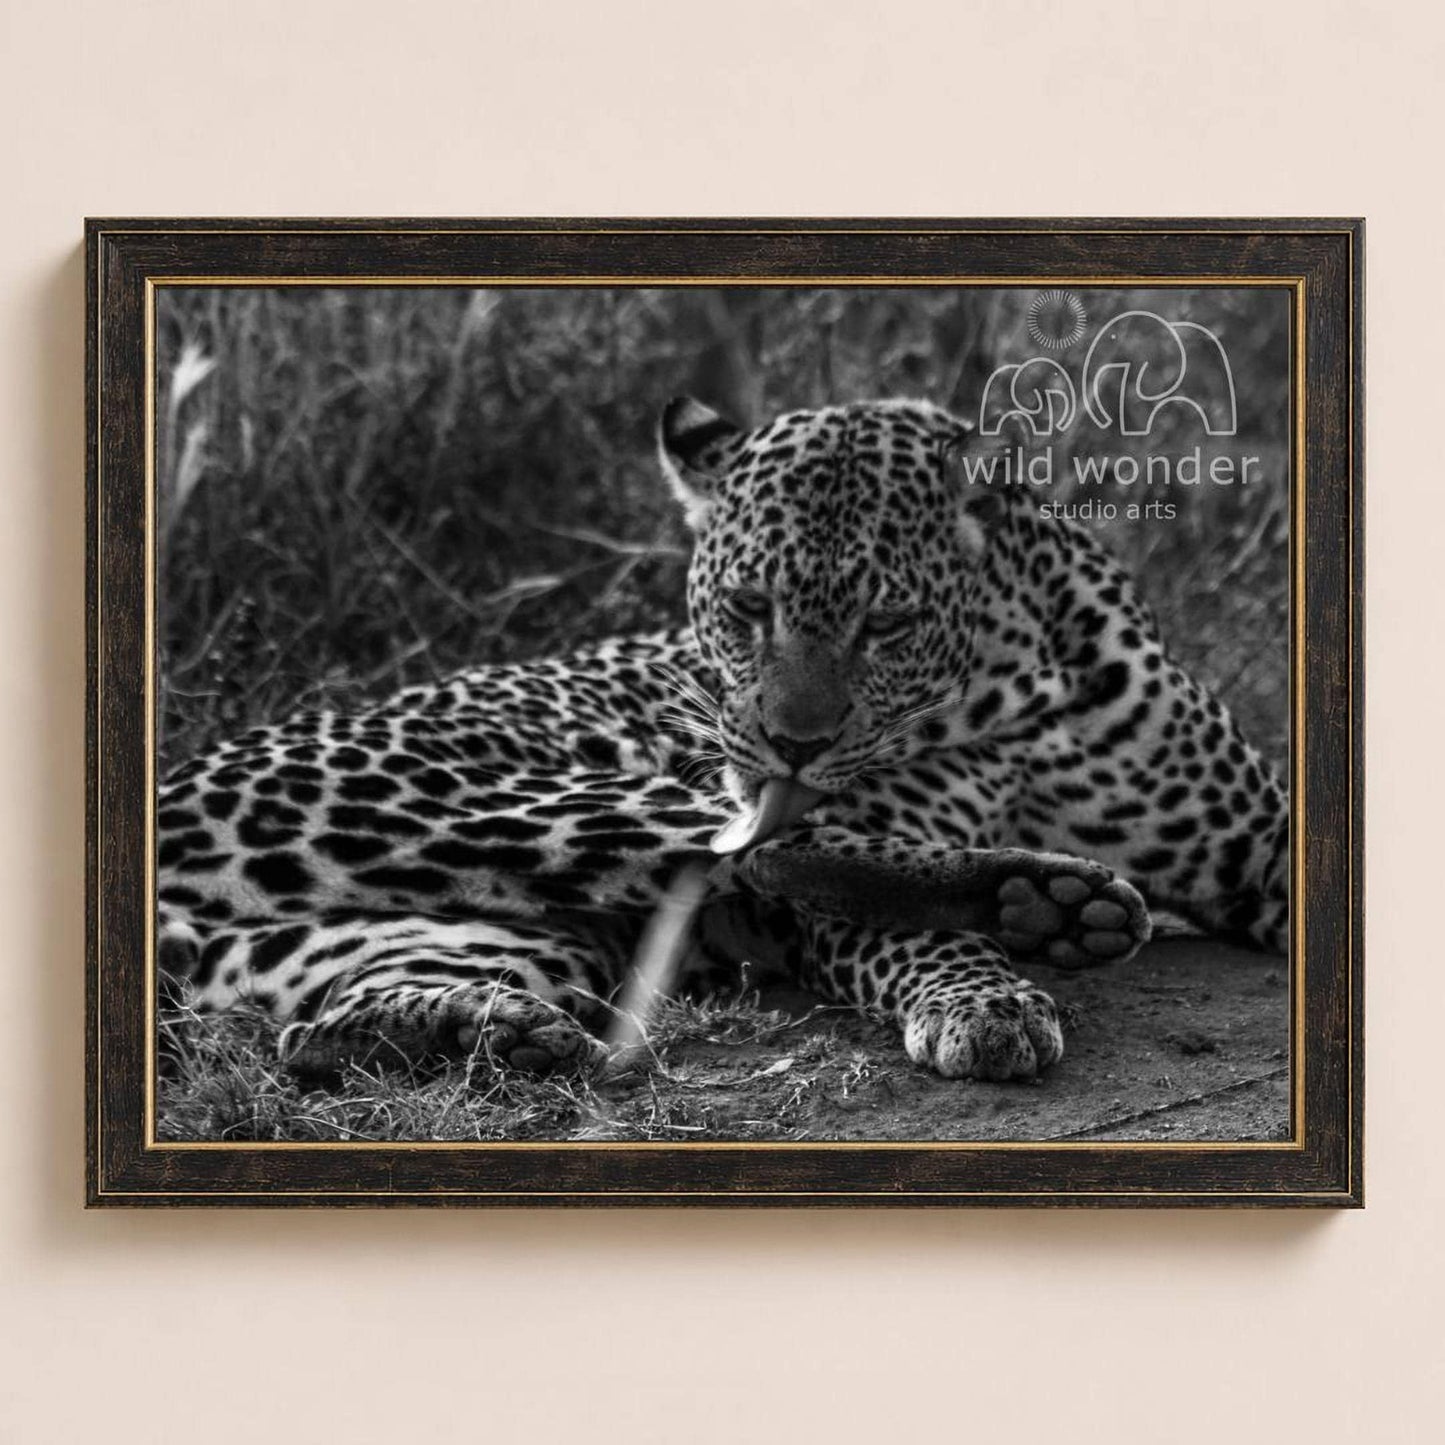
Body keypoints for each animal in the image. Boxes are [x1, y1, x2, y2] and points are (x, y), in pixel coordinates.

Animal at [157, 395, 1288, 1089]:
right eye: (747, 608)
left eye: (886, 621)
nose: (789, 744)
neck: (1001, 701)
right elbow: (904, 931)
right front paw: (988, 1000)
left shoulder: (1264, 833)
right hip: (491, 796)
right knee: (770, 855)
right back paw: (1049, 899)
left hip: (466, 936)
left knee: (316, 1032)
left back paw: (492, 1034)